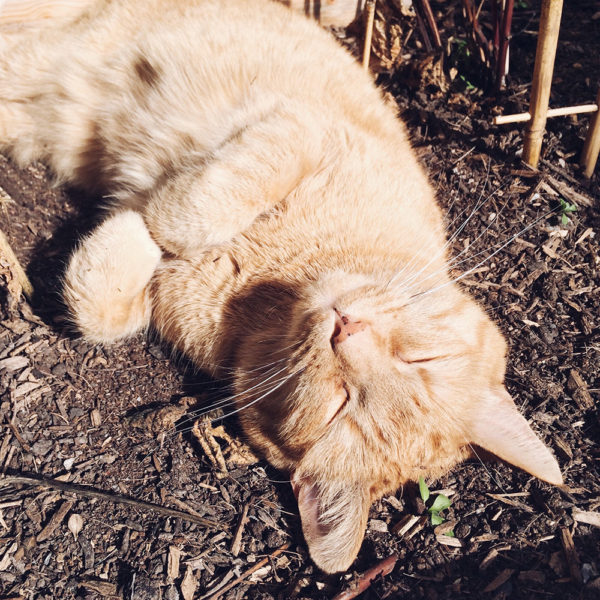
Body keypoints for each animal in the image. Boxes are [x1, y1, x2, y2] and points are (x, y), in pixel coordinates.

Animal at [0, 0, 564, 572]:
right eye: (420, 358)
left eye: (339, 404)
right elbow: (202, 208)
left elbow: (105, 307)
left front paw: (134, 229)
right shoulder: (301, 126)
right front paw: (157, 216)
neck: (271, 287)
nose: (346, 328)